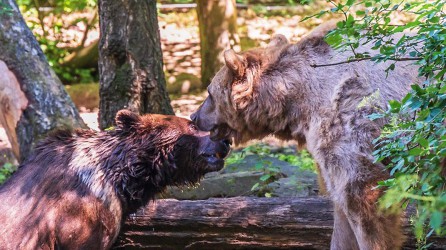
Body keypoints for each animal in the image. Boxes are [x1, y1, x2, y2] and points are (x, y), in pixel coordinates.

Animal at [193, 22, 422, 250]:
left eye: (209, 93)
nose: (194, 116)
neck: (297, 102)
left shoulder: (348, 123)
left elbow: (364, 203)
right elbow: (340, 212)